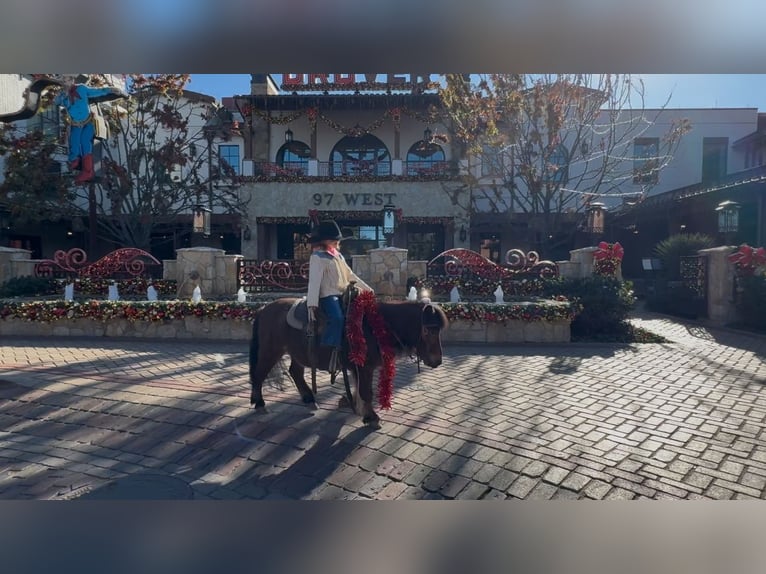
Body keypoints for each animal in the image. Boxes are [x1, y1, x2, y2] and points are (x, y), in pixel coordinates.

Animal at [249, 302, 448, 428]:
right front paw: (371, 417)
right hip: (271, 350)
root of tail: (264, 309)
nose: (437, 360)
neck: (374, 327)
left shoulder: (358, 369)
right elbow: (366, 391)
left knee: (295, 372)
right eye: (428, 330)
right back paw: (259, 404)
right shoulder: (364, 367)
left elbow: (359, 389)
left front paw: (356, 407)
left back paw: (309, 400)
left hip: (296, 353)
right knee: (259, 374)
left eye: (439, 330)